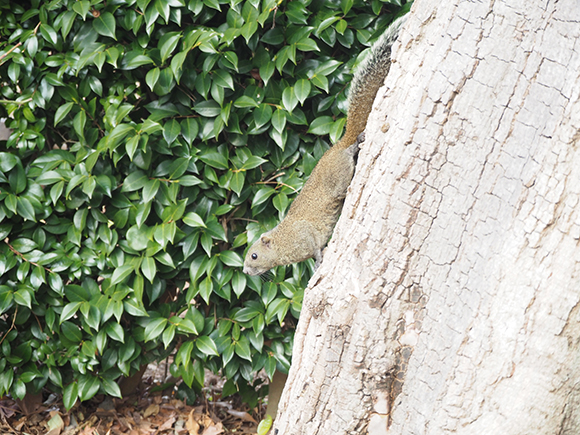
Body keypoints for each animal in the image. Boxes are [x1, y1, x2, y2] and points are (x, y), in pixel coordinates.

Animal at [242, 17, 406, 278]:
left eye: (255, 255)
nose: (246, 271)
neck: (284, 242)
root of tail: (337, 146)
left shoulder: (305, 237)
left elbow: (316, 249)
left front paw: (318, 262)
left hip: (338, 177)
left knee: (348, 161)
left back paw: (354, 148)